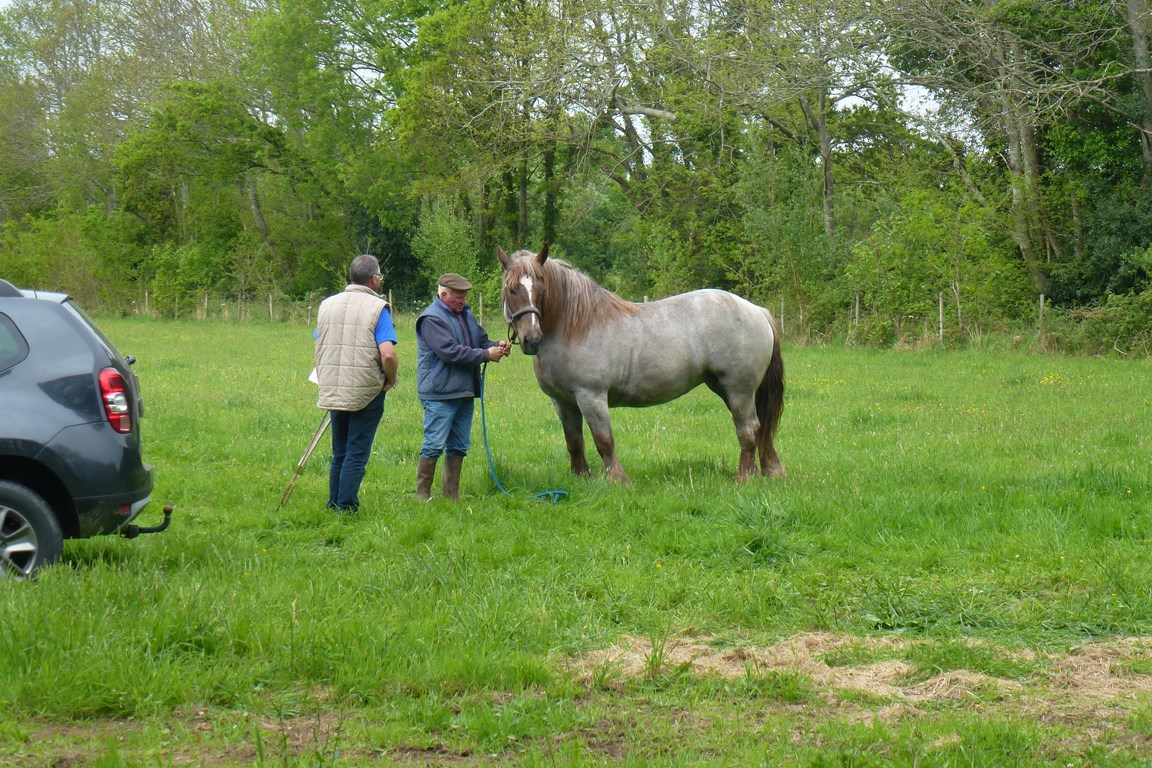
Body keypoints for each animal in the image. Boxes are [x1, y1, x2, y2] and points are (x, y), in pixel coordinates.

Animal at [498, 244, 785, 483]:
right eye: (511, 290)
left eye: (542, 288)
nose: (532, 340)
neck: (576, 326)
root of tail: (757, 311)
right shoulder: (563, 401)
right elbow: (574, 441)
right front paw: (581, 477)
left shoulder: (591, 396)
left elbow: (604, 440)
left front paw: (617, 480)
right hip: (727, 389)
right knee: (760, 428)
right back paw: (769, 471)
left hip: (739, 389)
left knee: (748, 429)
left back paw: (744, 477)